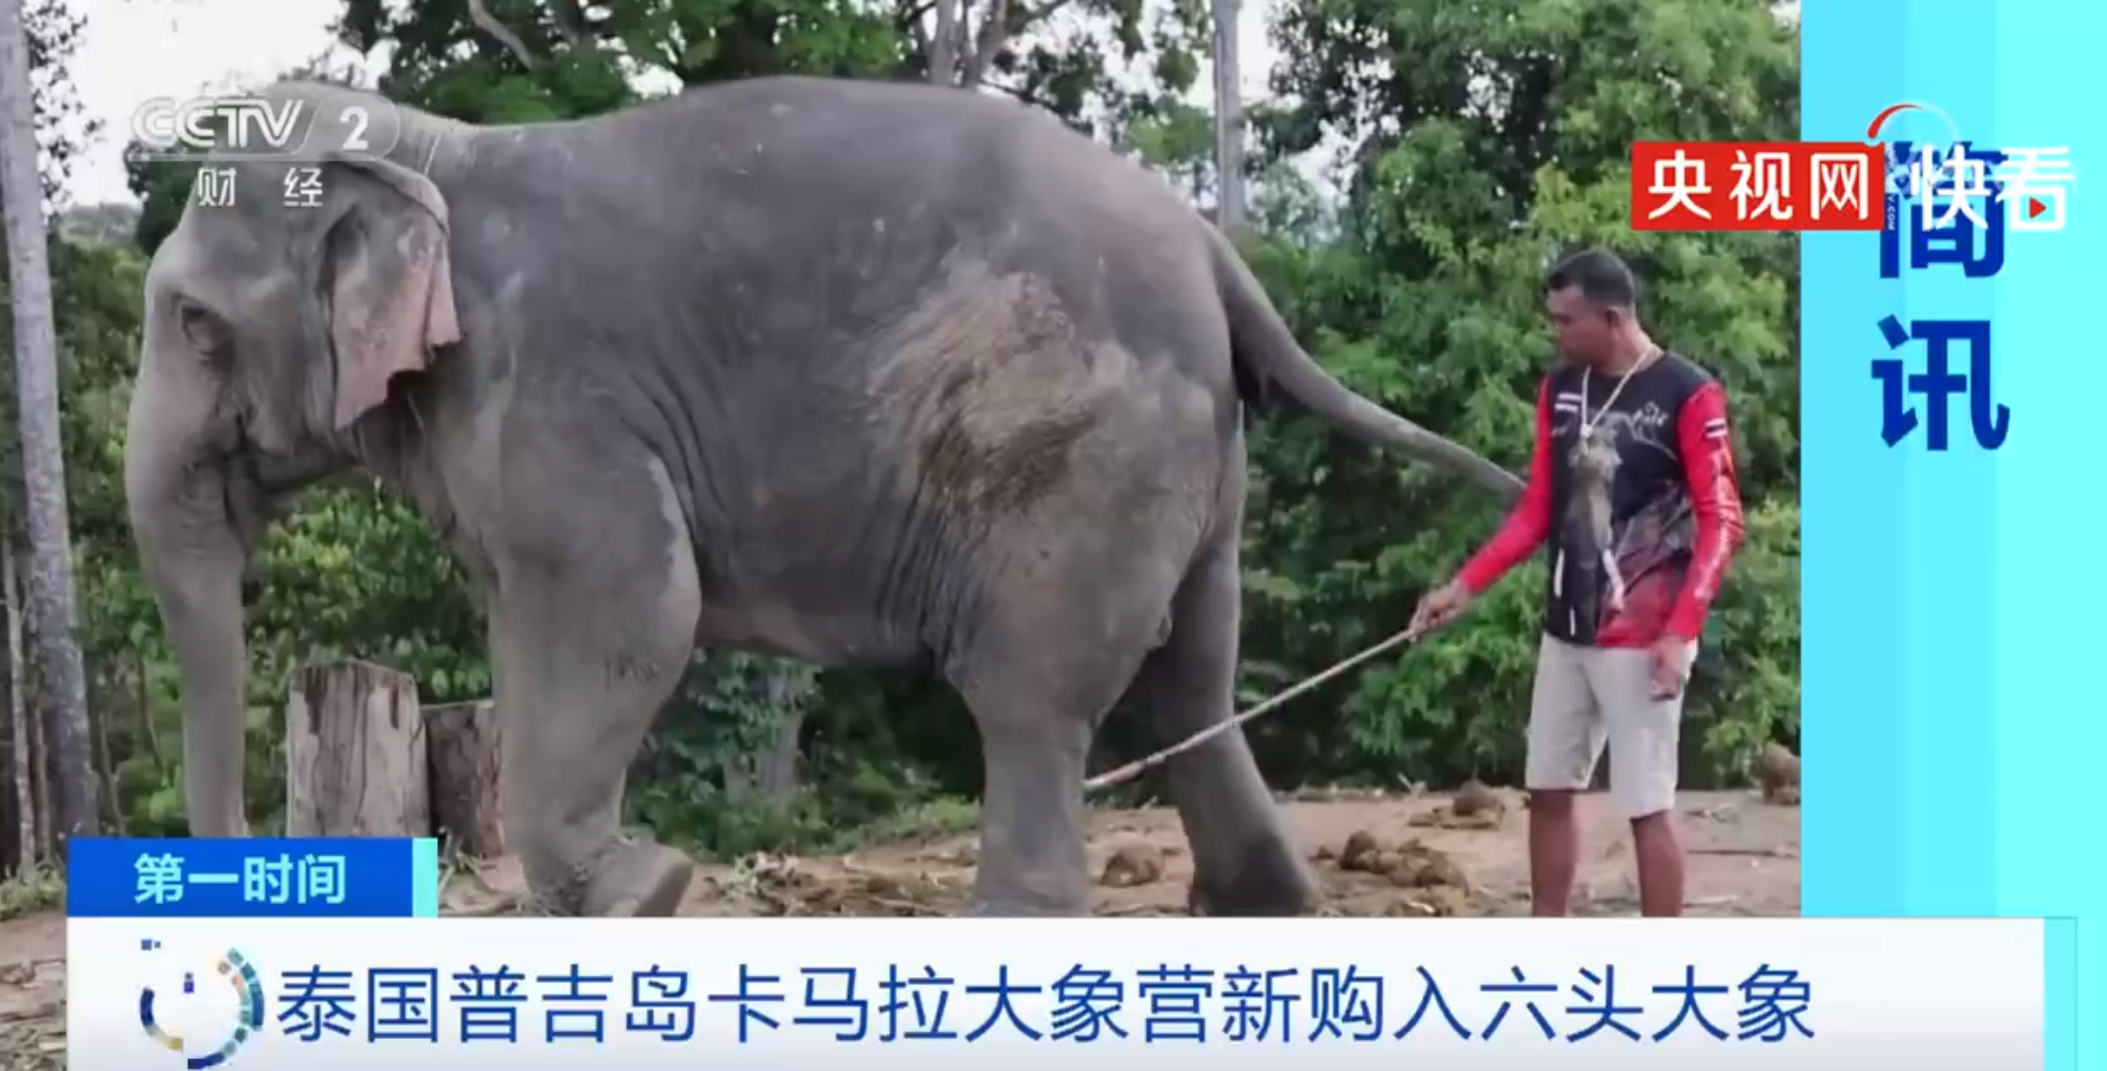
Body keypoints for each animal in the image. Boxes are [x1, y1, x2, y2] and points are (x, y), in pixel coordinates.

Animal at [125, 77, 1523, 919]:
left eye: (192, 324)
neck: (424, 149)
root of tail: (1215, 253)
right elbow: (534, 625)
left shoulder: (559, 393)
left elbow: (635, 613)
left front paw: (649, 891)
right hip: (1195, 453)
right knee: (1196, 669)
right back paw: (1262, 913)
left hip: (1072, 445)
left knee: (1031, 692)